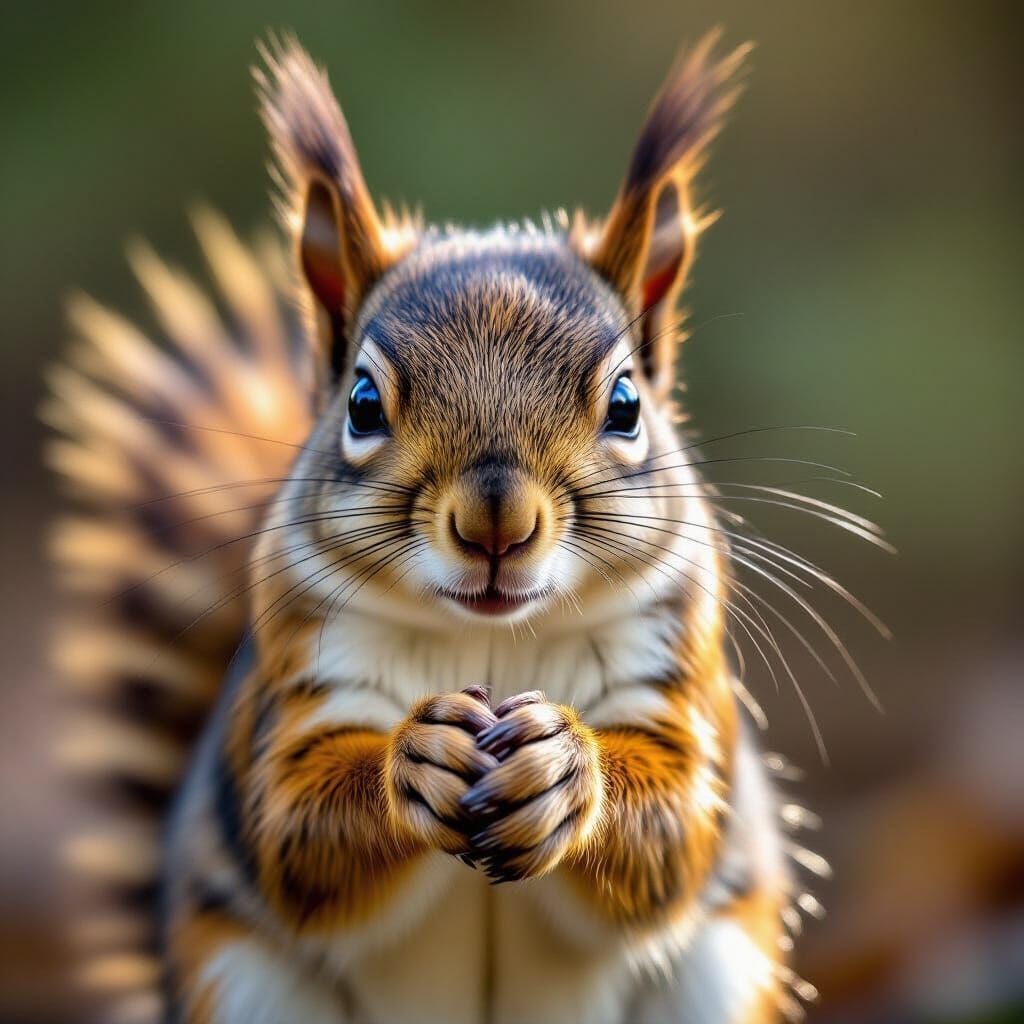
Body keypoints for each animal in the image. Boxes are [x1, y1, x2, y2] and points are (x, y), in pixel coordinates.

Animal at [42, 30, 862, 1024]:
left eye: (628, 404)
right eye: (361, 403)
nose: (495, 523)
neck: (494, 644)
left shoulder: (675, 680)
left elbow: (674, 827)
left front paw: (566, 768)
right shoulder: (293, 694)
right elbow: (293, 824)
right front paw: (414, 759)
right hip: (242, 985)